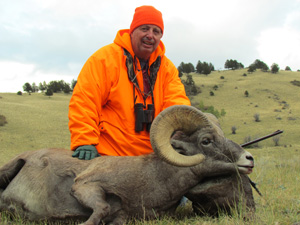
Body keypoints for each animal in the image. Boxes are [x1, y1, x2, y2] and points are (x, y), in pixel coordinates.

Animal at [0, 106, 253, 225]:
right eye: (206, 140)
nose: (248, 159)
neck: (152, 178)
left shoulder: (124, 215)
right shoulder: (84, 186)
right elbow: (101, 208)